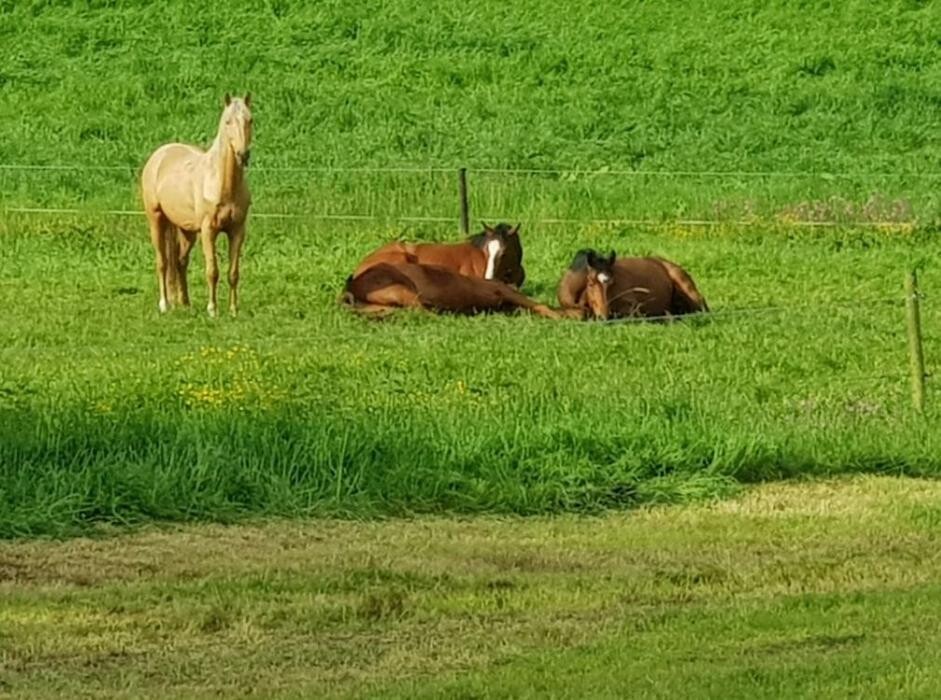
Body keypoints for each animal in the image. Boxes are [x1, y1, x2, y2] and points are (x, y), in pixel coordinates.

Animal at [140, 91, 253, 316]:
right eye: (228, 121)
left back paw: (184, 303)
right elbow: (212, 271)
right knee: (162, 262)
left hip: (187, 230)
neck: (222, 183)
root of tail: (159, 155)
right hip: (156, 220)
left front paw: (233, 310)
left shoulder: (237, 230)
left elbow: (233, 272)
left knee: (180, 261)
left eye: (249, 120)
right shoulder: (208, 230)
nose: (243, 154)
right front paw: (212, 310)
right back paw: (165, 304)